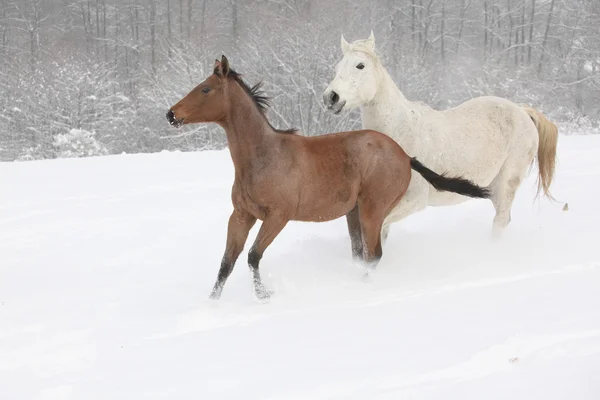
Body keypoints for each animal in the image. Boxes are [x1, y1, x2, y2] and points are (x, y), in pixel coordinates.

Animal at [166, 56, 490, 300]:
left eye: (205, 89)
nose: (171, 114)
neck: (264, 156)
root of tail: (404, 156)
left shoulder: (278, 216)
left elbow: (253, 256)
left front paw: (264, 295)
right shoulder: (242, 215)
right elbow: (226, 263)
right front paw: (212, 303)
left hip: (372, 210)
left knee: (374, 255)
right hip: (354, 213)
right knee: (362, 254)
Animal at [324, 31, 556, 242]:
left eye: (360, 65)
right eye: (338, 67)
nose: (331, 97)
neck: (399, 131)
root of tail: (522, 110)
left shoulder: (414, 200)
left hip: (506, 183)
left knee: (501, 220)